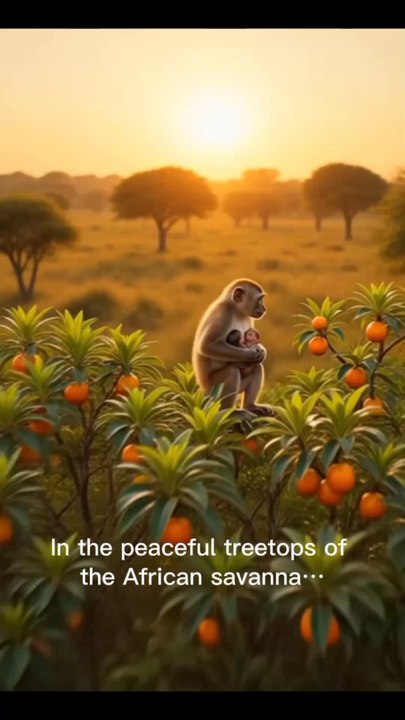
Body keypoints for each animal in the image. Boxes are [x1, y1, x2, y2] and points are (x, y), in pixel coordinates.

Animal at [192, 278, 273, 416]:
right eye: (259, 300)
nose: (264, 308)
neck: (236, 310)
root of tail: (203, 390)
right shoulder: (223, 313)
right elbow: (207, 346)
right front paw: (251, 354)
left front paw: (262, 351)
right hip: (213, 391)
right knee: (232, 371)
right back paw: (229, 411)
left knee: (257, 367)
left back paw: (250, 406)